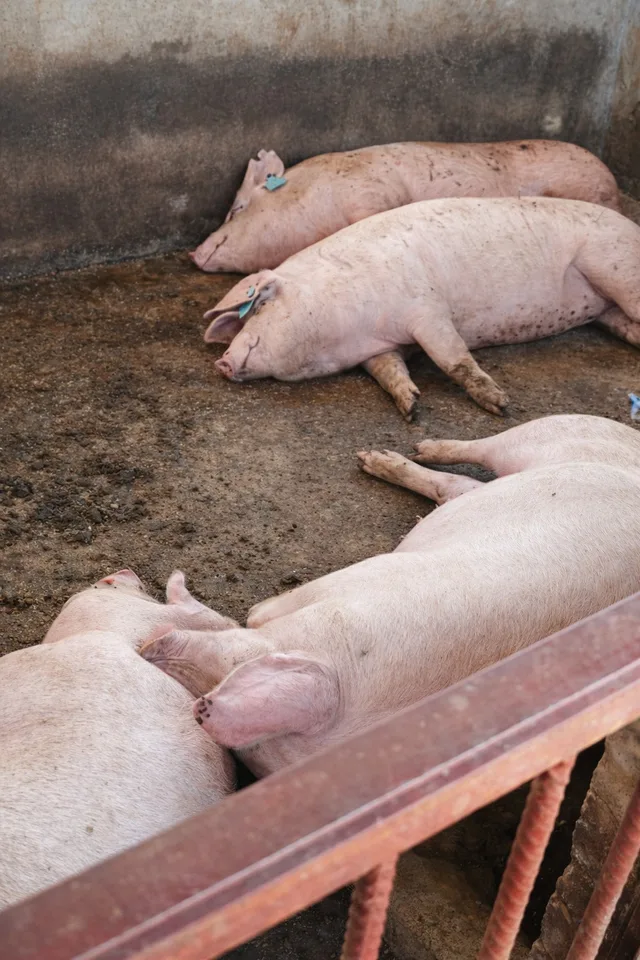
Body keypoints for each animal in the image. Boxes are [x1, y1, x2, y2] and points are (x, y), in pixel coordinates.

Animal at [141, 415, 640, 778]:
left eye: (228, 670)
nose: (151, 646)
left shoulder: (346, 587)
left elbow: (254, 615)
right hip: (563, 430)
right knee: (478, 457)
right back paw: (395, 451)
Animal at [203, 197, 640, 420]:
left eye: (260, 307)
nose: (222, 362)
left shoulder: (427, 310)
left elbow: (452, 358)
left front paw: (500, 405)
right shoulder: (381, 348)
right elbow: (388, 371)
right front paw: (410, 405)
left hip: (613, 266)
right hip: (607, 308)